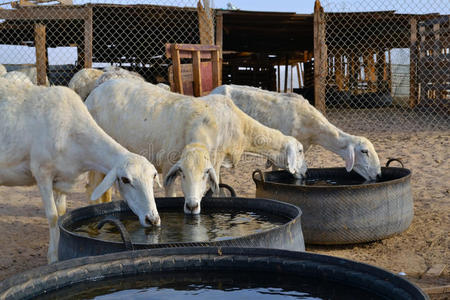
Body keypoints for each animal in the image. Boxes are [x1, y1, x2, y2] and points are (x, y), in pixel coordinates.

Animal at [0, 77, 161, 262]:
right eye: (125, 180)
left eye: (153, 177)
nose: (152, 220)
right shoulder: (42, 172)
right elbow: (52, 216)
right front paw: (53, 258)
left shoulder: (62, 177)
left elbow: (61, 213)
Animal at [85, 79, 306, 214]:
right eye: (301, 150)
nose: (305, 172)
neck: (241, 128)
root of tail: (93, 94)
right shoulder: (171, 164)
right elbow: (173, 193)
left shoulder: (216, 160)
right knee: (93, 188)